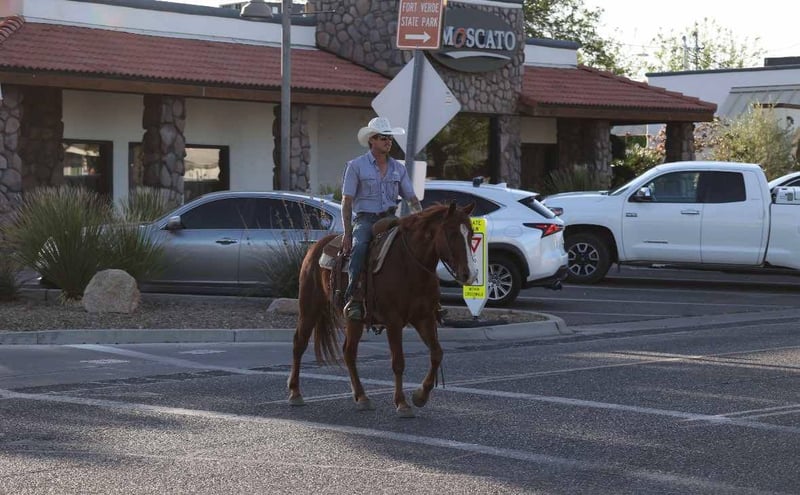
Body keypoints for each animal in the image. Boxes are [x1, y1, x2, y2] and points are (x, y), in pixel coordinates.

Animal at [287, 202, 478, 417]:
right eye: (452, 232)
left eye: (471, 233)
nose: (470, 274)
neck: (410, 264)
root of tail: (316, 245)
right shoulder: (393, 320)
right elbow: (398, 362)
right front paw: (402, 403)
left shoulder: (424, 317)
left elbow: (437, 353)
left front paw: (420, 396)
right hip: (309, 306)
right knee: (299, 343)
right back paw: (295, 393)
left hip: (354, 319)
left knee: (349, 352)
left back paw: (362, 397)